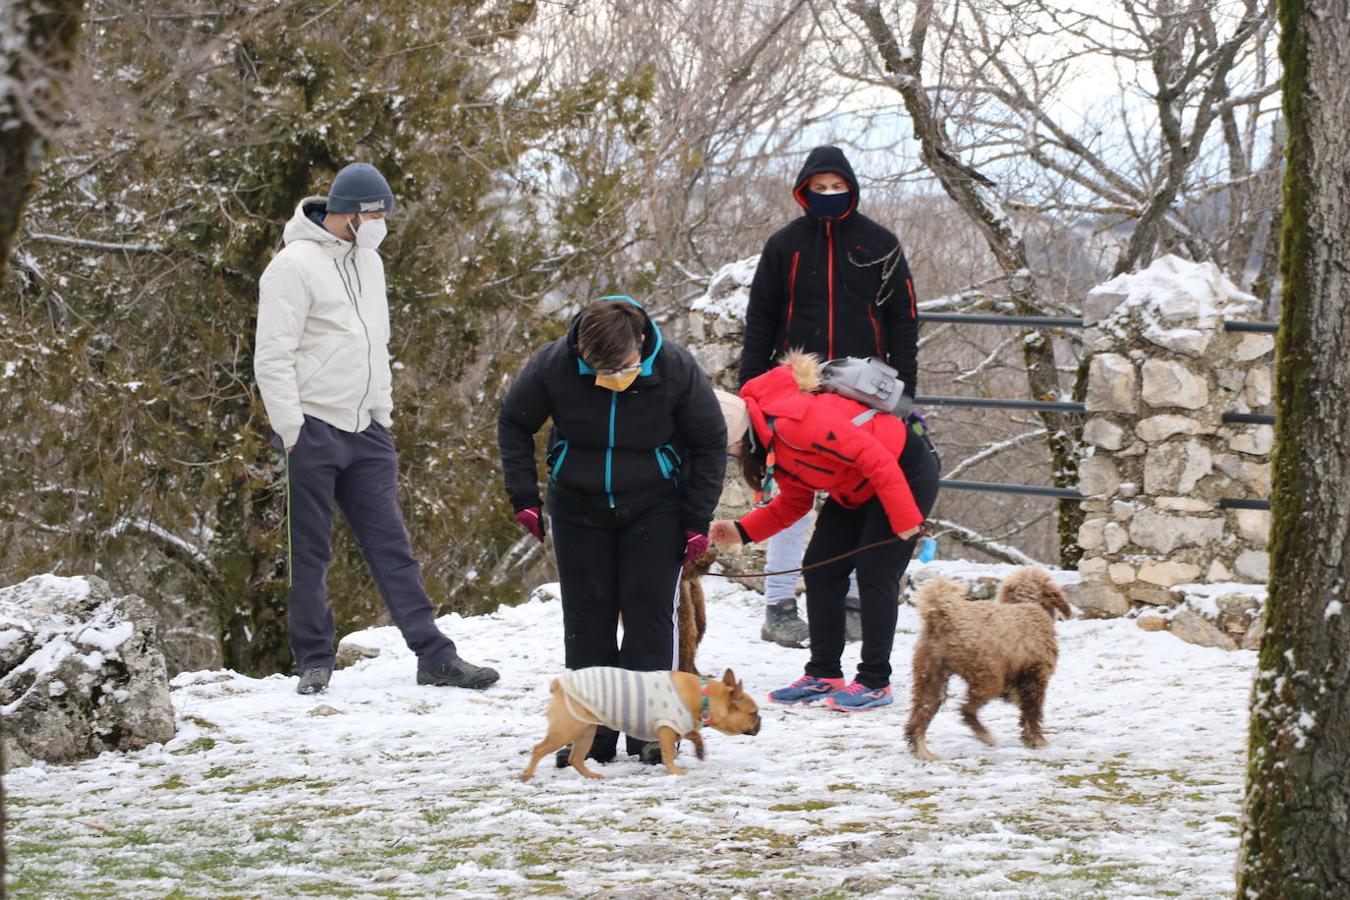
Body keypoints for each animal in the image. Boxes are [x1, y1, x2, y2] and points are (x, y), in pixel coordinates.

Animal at [521, 669, 766, 782]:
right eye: (753, 713)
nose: (760, 721)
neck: (704, 695)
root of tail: (559, 684)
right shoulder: (667, 728)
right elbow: (668, 752)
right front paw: (674, 770)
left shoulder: (682, 725)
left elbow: (694, 735)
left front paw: (700, 750)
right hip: (565, 730)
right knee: (539, 749)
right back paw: (527, 774)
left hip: (585, 731)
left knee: (575, 758)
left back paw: (592, 776)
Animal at [907, 569, 1074, 761]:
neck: (1028, 603)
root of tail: (944, 616)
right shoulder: (1036, 676)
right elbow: (1032, 712)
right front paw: (1037, 740)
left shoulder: (1020, 676)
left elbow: (1023, 710)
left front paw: (1027, 738)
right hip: (988, 676)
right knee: (966, 710)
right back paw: (985, 736)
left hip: (930, 679)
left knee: (918, 718)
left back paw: (923, 752)